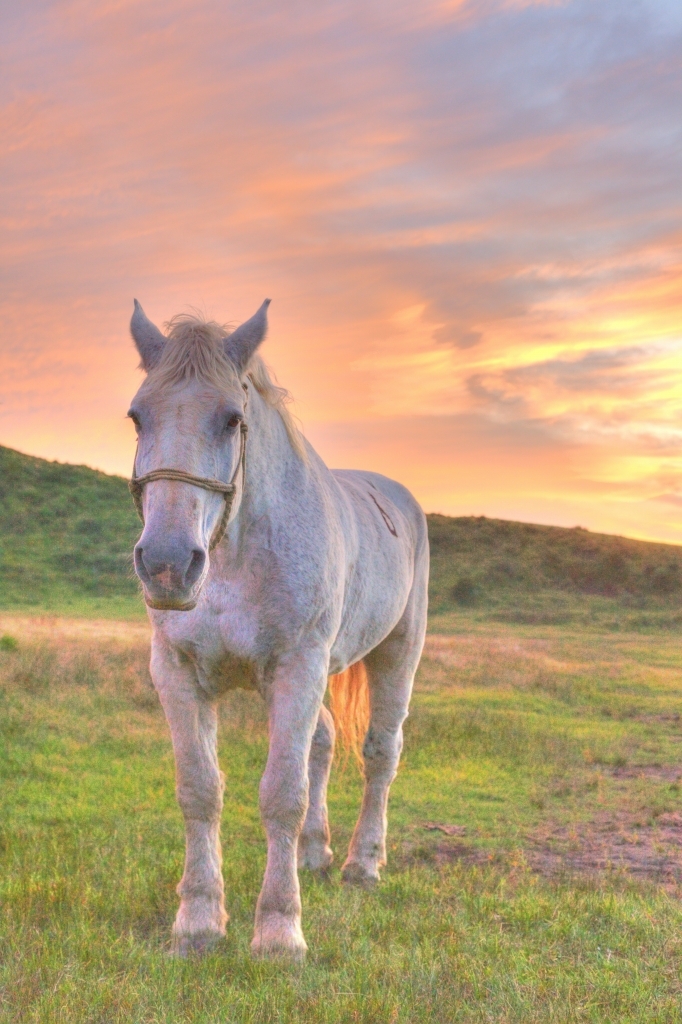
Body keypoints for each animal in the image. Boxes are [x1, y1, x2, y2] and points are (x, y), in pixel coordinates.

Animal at [126, 299, 425, 958]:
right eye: (137, 417)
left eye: (232, 419)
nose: (167, 563)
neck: (236, 558)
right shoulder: (178, 674)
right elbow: (200, 790)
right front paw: (199, 921)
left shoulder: (297, 669)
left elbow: (281, 795)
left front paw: (280, 931)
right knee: (325, 742)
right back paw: (316, 854)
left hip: (397, 653)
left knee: (380, 753)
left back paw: (363, 865)